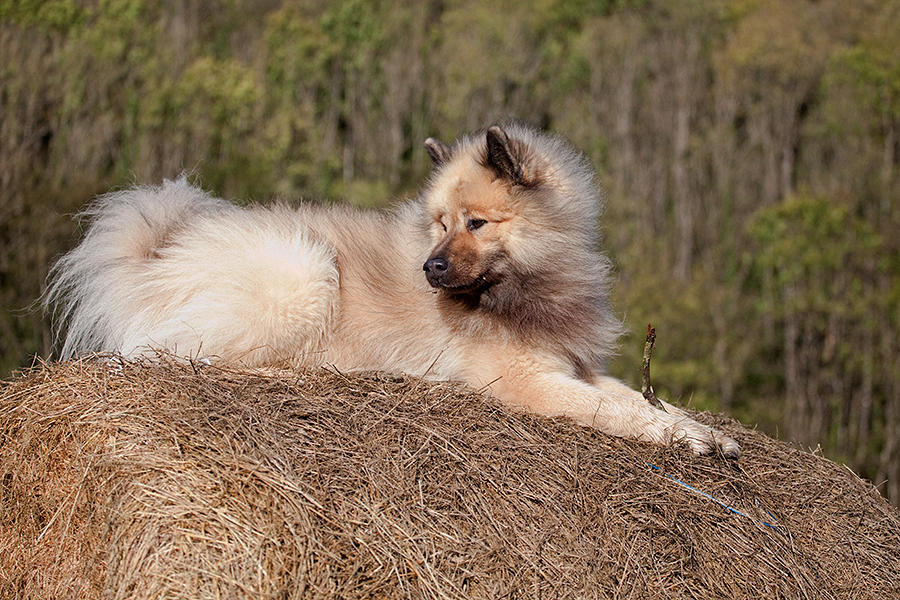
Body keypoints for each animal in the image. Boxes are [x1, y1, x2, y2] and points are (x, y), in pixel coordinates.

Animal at [45, 123, 740, 460]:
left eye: (475, 223)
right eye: (439, 222)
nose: (429, 269)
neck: (530, 282)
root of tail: (159, 254)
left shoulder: (574, 365)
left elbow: (640, 400)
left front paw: (698, 429)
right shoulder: (528, 381)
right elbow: (617, 414)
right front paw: (680, 438)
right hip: (304, 271)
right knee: (182, 355)